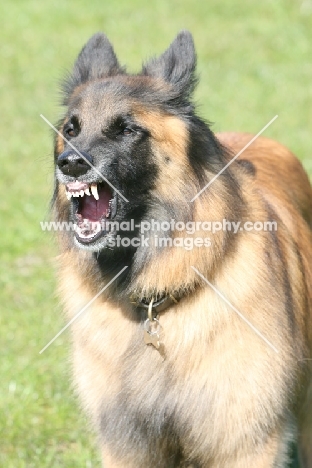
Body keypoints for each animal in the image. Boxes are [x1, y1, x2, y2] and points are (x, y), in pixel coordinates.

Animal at [52, 31, 312, 466]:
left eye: (126, 130)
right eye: (72, 129)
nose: (70, 164)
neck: (154, 305)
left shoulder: (245, 441)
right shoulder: (127, 445)